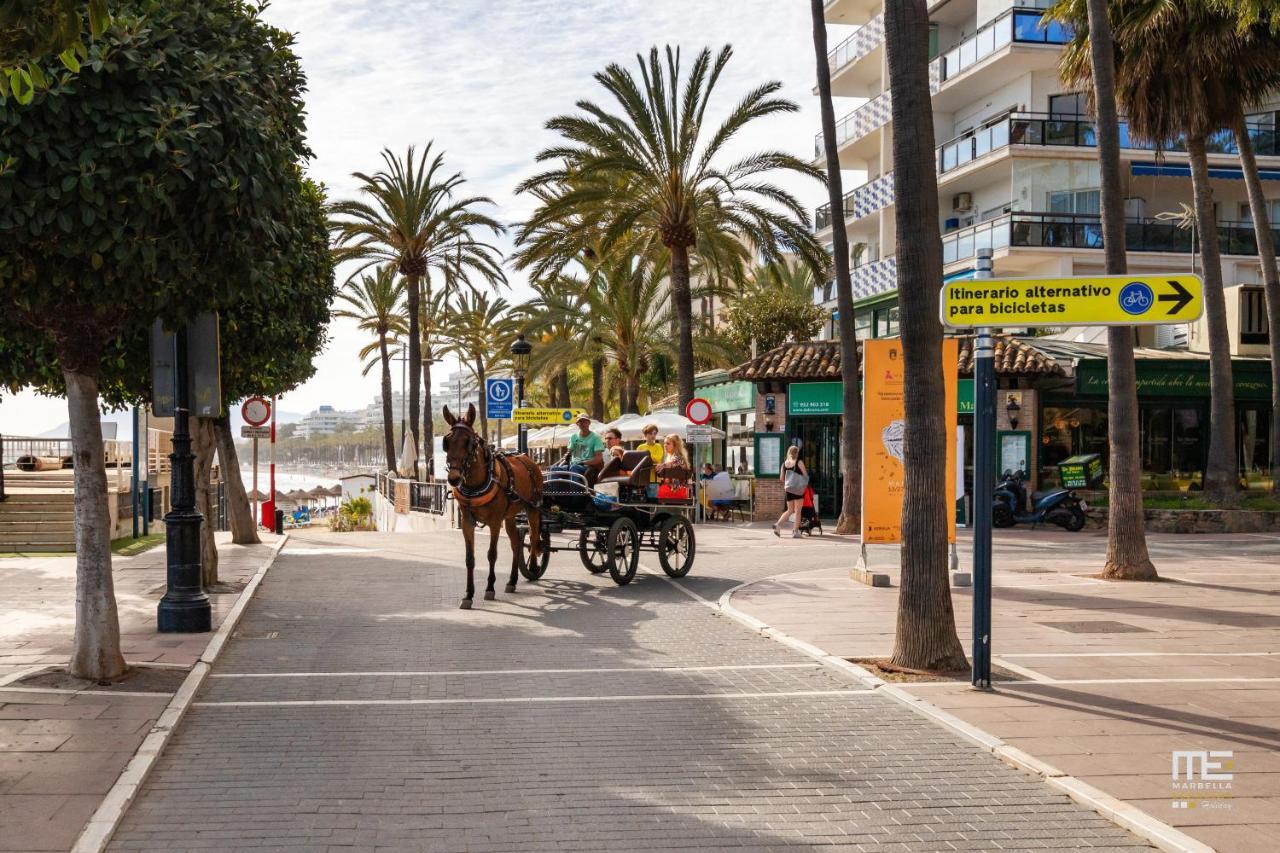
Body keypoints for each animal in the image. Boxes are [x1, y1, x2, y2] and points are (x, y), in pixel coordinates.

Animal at [442, 404, 542, 607]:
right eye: (447, 441)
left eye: (468, 442)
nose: (454, 478)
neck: (476, 484)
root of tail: (528, 458)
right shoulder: (467, 521)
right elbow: (470, 558)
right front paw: (468, 594)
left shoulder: (495, 522)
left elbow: (491, 554)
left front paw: (489, 588)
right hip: (510, 516)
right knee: (516, 543)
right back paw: (512, 580)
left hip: (532, 508)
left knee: (534, 537)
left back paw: (534, 567)